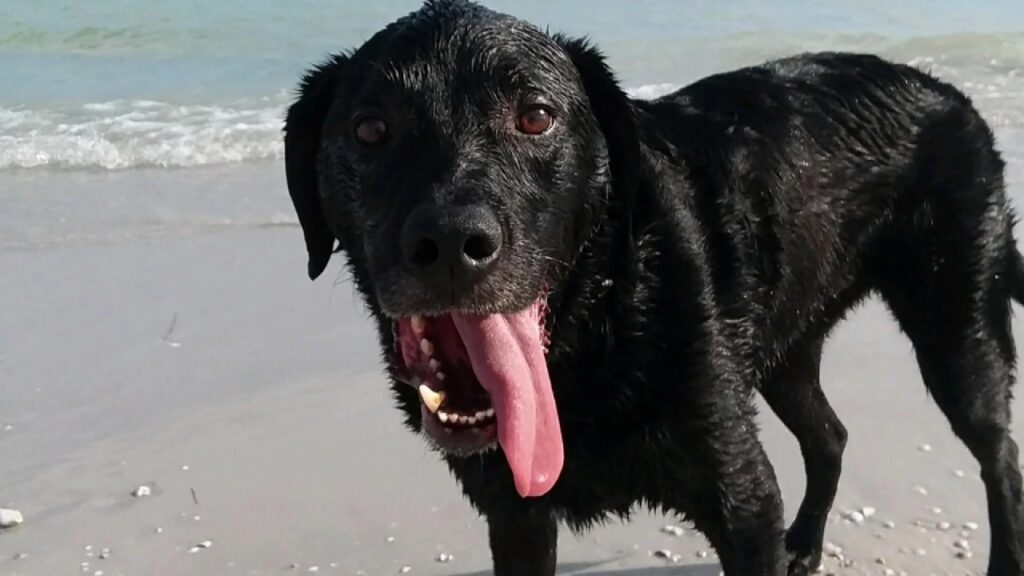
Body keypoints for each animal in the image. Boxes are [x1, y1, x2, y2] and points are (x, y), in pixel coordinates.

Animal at [282, 2, 1024, 569]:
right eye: (370, 128)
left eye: (536, 116)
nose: (449, 245)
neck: (599, 321)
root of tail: (950, 95)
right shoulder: (517, 516)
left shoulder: (742, 497)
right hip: (784, 351)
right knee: (831, 437)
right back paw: (807, 546)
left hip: (958, 328)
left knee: (1000, 454)